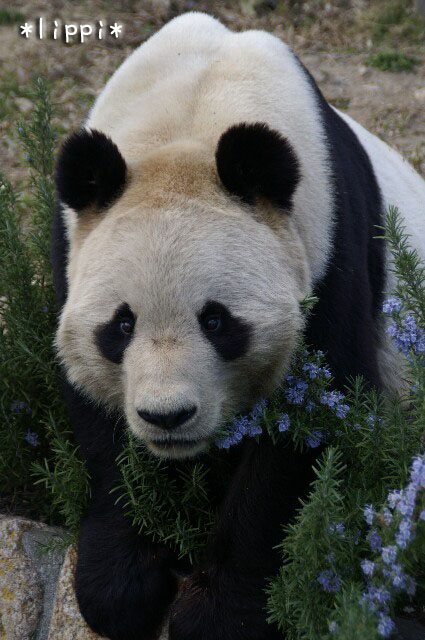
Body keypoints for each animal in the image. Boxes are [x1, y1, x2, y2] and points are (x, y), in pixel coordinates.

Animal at [51, 11, 424, 640]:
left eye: (216, 321)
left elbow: (303, 437)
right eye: (121, 326)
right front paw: (119, 589)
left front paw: (216, 615)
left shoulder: (328, 248)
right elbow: (99, 426)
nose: (168, 416)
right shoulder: (72, 246)